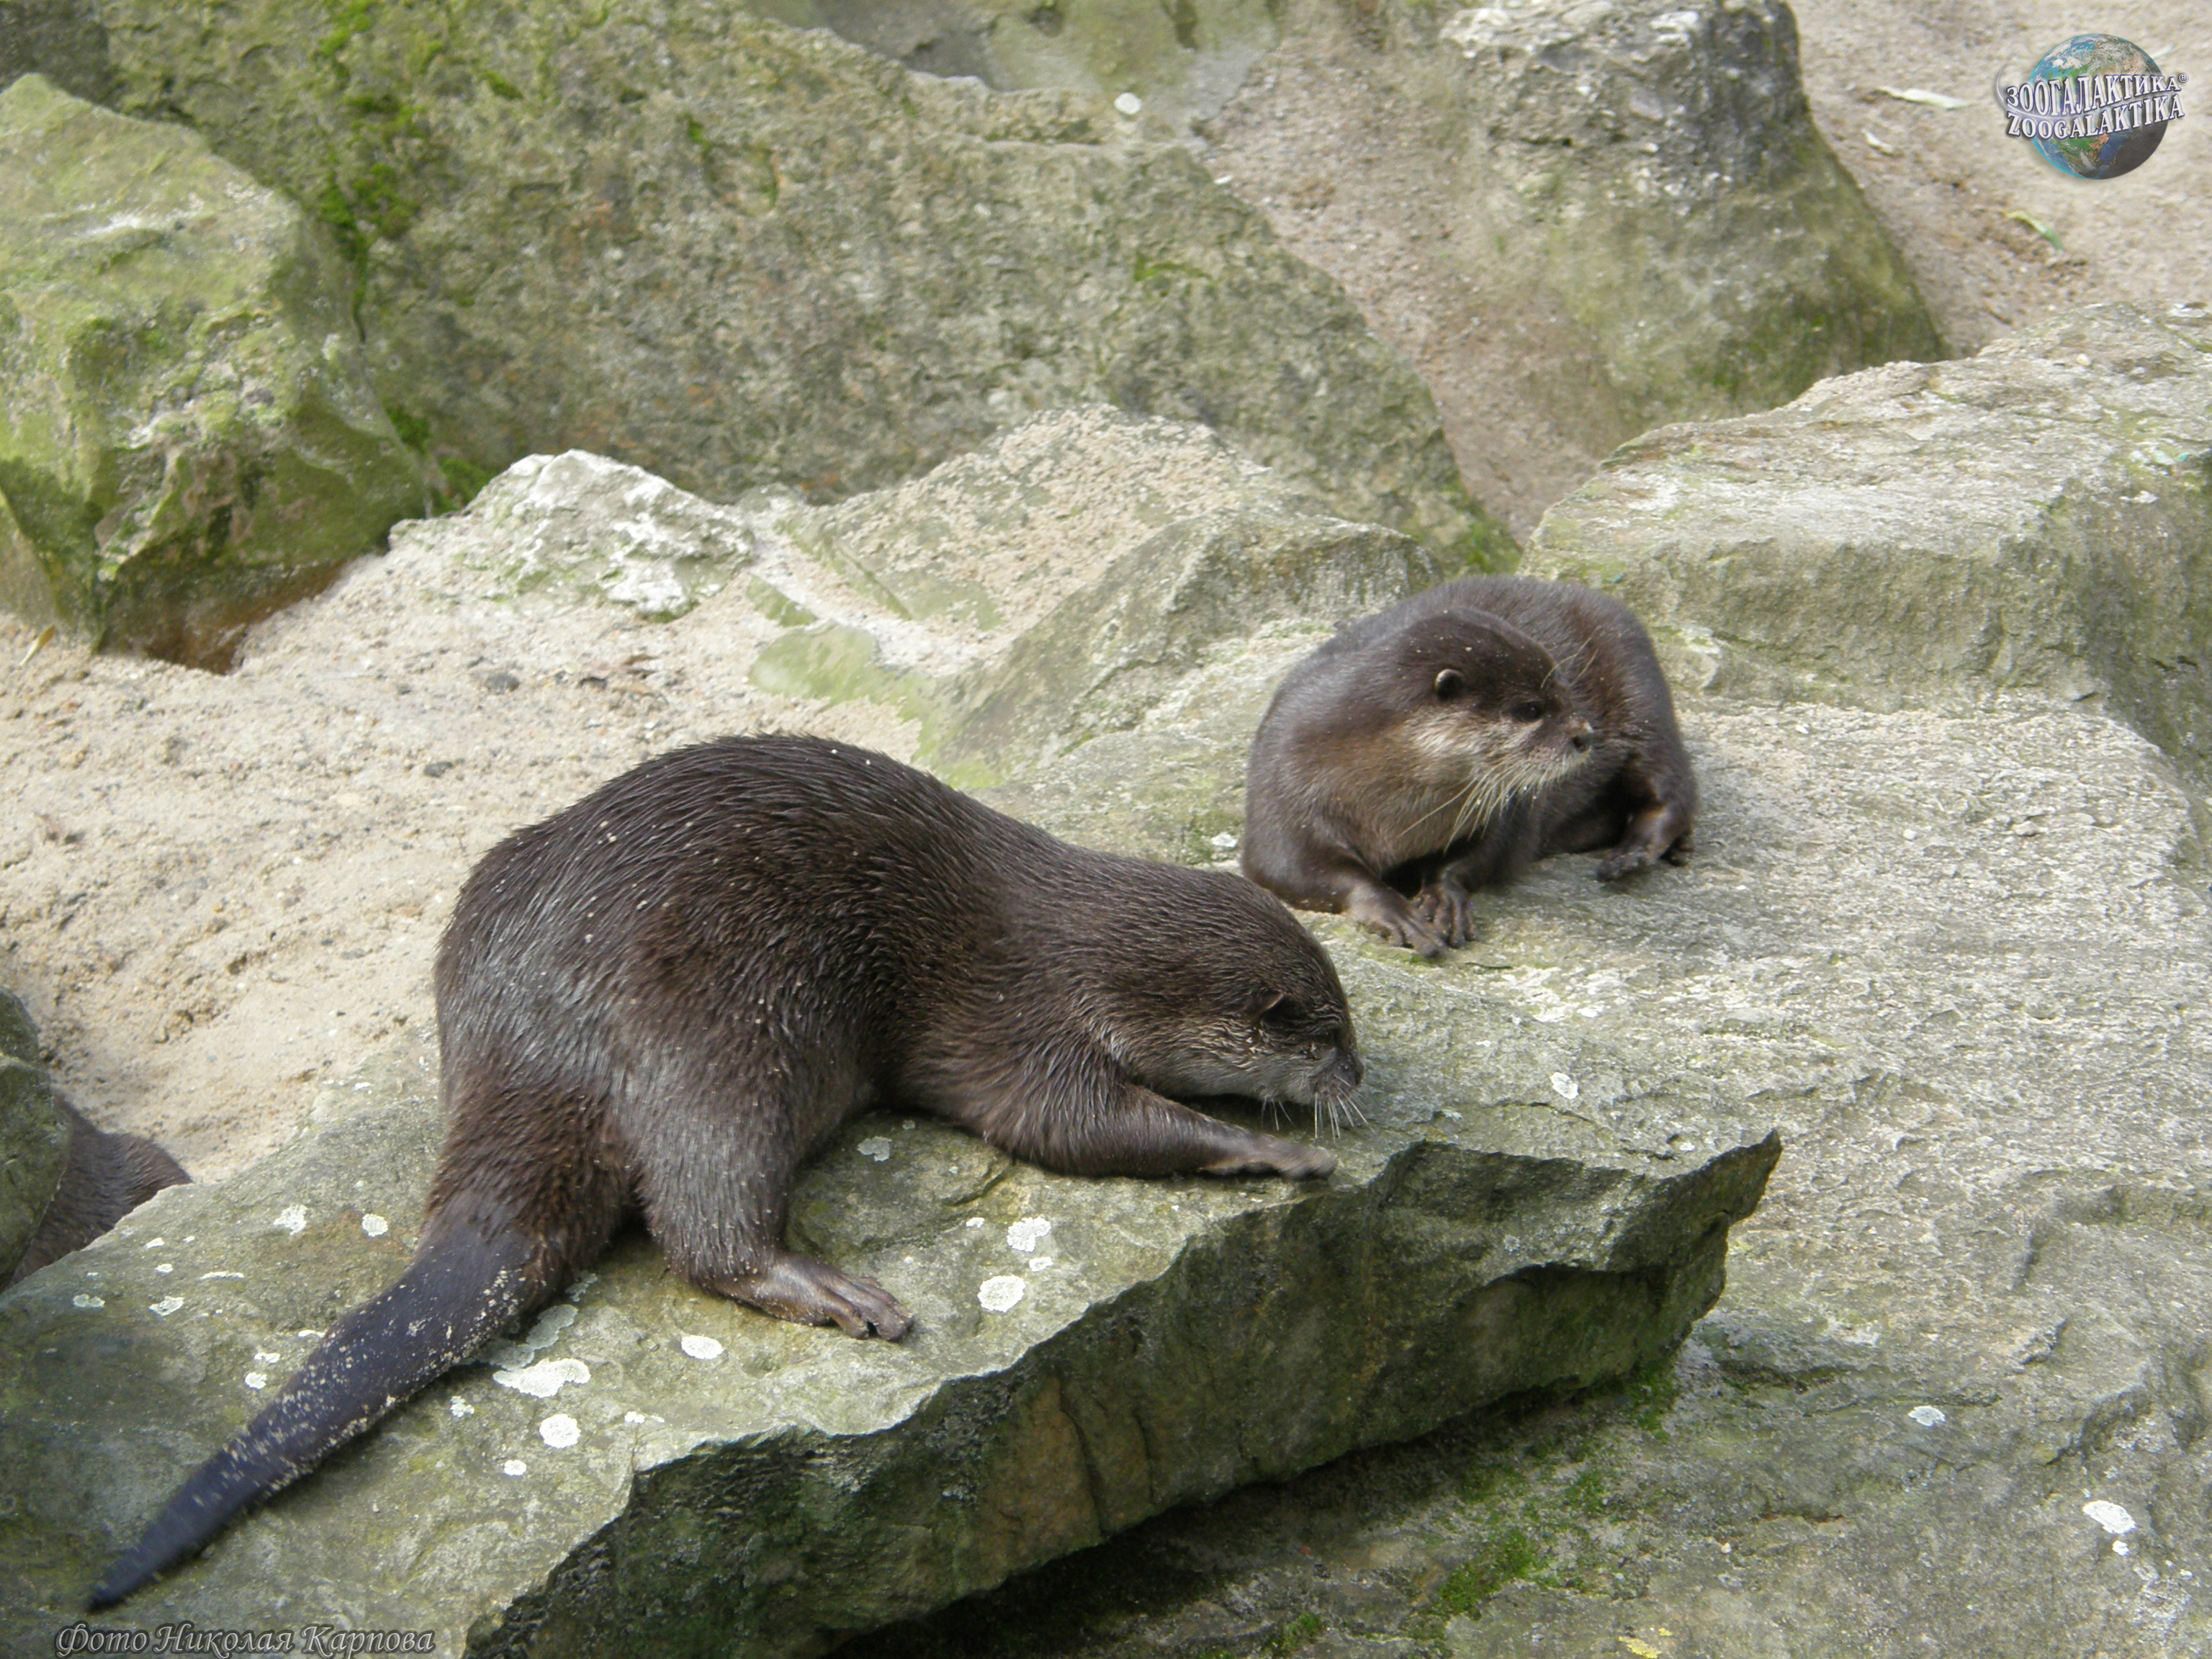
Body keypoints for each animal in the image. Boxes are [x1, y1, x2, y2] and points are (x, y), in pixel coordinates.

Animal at [92, 735, 1359, 1608]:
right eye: (1329, 1030)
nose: (1357, 1076)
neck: (1085, 946)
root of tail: (536, 1027)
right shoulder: (1023, 1016)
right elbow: (1070, 1124)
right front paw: (1272, 1146)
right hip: (727, 1032)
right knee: (700, 1219)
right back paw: (830, 1290)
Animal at [1241, 576, 1695, 957]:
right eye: (1531, 709)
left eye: (1566, 689)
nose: (1585, 735)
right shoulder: (1283, 784)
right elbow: (1292, 867)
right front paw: (1394, 910)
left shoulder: (1504, 804)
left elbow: (1489, 852)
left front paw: (1443, 896)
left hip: (1639, 684)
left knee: (1671, 786)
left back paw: (1633, 852)